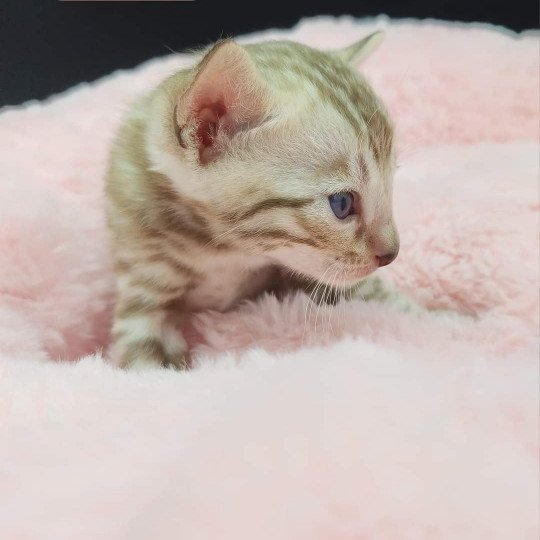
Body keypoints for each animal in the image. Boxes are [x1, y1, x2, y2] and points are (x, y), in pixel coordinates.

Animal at [105, 31, 402, 370]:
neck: (225, 250)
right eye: (341, 203)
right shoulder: (145, 284)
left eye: (391, 183)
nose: (392, 254)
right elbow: (146, 364)